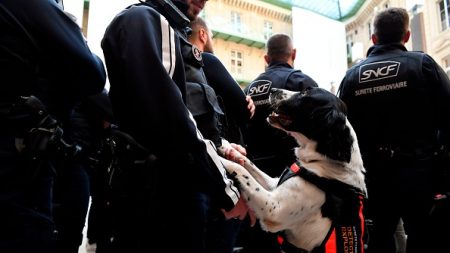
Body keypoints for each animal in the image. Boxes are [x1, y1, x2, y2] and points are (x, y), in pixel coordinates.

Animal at [221, 87, 366, 253]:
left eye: (305, 93)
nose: (273, 90)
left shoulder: (273, 208)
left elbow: (242, 171)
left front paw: (217, 156)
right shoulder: (274, 184)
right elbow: (248, 164)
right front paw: (227, 148)